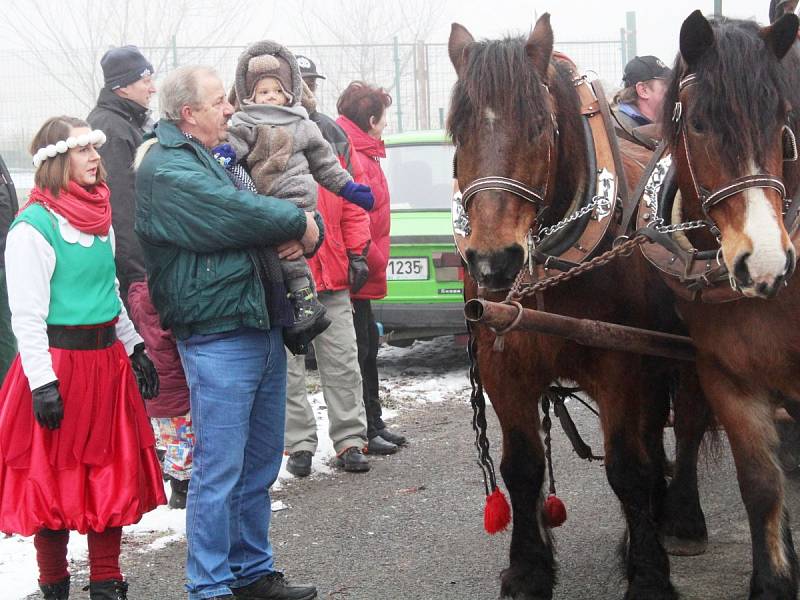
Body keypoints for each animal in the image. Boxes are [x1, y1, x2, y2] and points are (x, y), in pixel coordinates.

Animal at [450, 14, 708, 600]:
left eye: (540, 128)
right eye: (458, 130)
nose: (493, 260)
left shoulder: (620, 364)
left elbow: (627, 469)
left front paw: (649, 574)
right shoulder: (503, 366)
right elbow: (522, 469)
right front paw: (528, 570)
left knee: (685, 425)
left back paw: (681, 520)